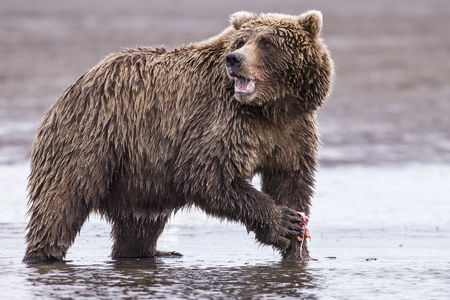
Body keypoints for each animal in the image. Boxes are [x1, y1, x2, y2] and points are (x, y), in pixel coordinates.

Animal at [24, 9, 334, 262]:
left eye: (266, 42)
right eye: (241, 41)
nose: (233, 60)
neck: (270, 108)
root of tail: (74, 86)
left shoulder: (292, 132)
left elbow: (291, 182)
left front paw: (297, 246)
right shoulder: (224, 121)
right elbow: (210, 176)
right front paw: (283, 223)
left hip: (141, 175)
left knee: (139, 223)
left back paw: (146, 252)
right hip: (90, 141)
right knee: (60, 203)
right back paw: (44, 255)